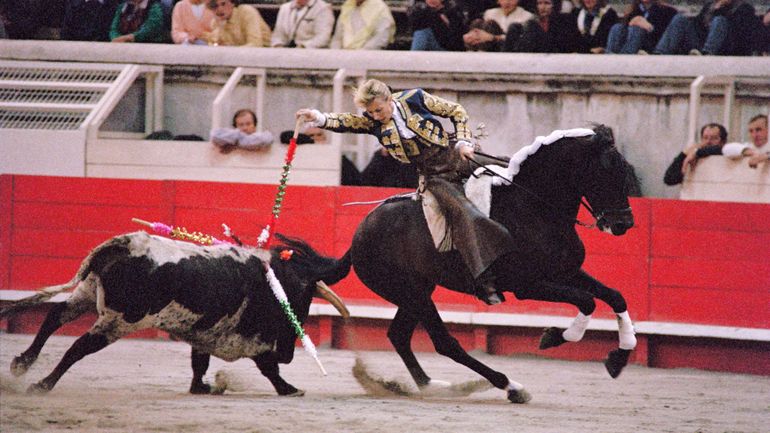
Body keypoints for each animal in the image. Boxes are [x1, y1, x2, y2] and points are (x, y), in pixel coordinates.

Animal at [0, 231, 348, 396]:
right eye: (303, 298)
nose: (289, 353)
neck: (273, 277)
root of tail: (123, 244)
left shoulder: (205, 332)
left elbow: (199, 362)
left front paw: (203, 387)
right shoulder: (250, 339)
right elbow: (268, 367)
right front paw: (290, 388)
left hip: (86, 294)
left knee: (55, 316)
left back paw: (22, 363)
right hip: (120, 320)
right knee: (79, 346)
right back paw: (42, 385)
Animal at [332, 125, 632, 402]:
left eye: (625, 172)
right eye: (604, 172)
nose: (624, 224)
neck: (534, 207)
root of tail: (360, 233)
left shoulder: (567, 272)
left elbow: (615, 296)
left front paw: (618, 359)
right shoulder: (526, 285)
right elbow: (587, 301)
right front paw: (553, 337)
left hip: (417, 292)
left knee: (399, 336)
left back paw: (431, 386)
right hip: (412, 294)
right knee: (444, 342)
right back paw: (510, 386)